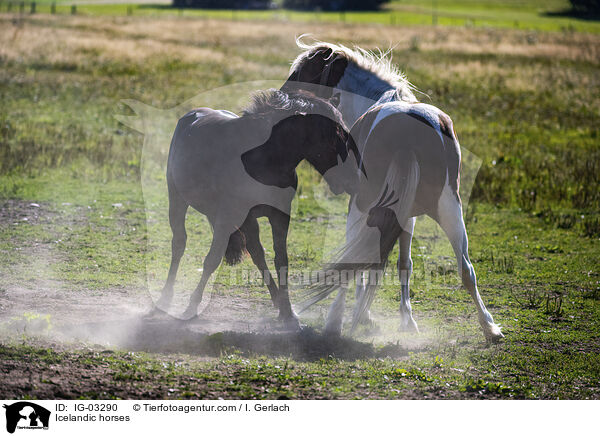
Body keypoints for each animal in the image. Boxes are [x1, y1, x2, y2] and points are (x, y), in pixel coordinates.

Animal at [157, 88, 358, 328]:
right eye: (333, 135)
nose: (354, 178)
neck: (263, 160)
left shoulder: (279, 216)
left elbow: (281, 260)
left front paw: (289, 313)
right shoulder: (228, 216)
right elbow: (212, 260)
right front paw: (192, 306)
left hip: (247, 220)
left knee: (256, 253)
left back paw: (278, 303)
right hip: (178, 200)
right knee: (179, 243)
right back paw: (165, 297)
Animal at [284, 39, 504, 342]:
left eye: (303, 72)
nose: (284, 96)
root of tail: (406, 133)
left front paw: (364, 315)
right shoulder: (406, 216)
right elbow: (403, 264)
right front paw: (405, 320)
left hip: (360, 206)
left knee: (350, 263)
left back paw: (334, 323)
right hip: (451, 208)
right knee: (466, 268)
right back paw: (490, 328)